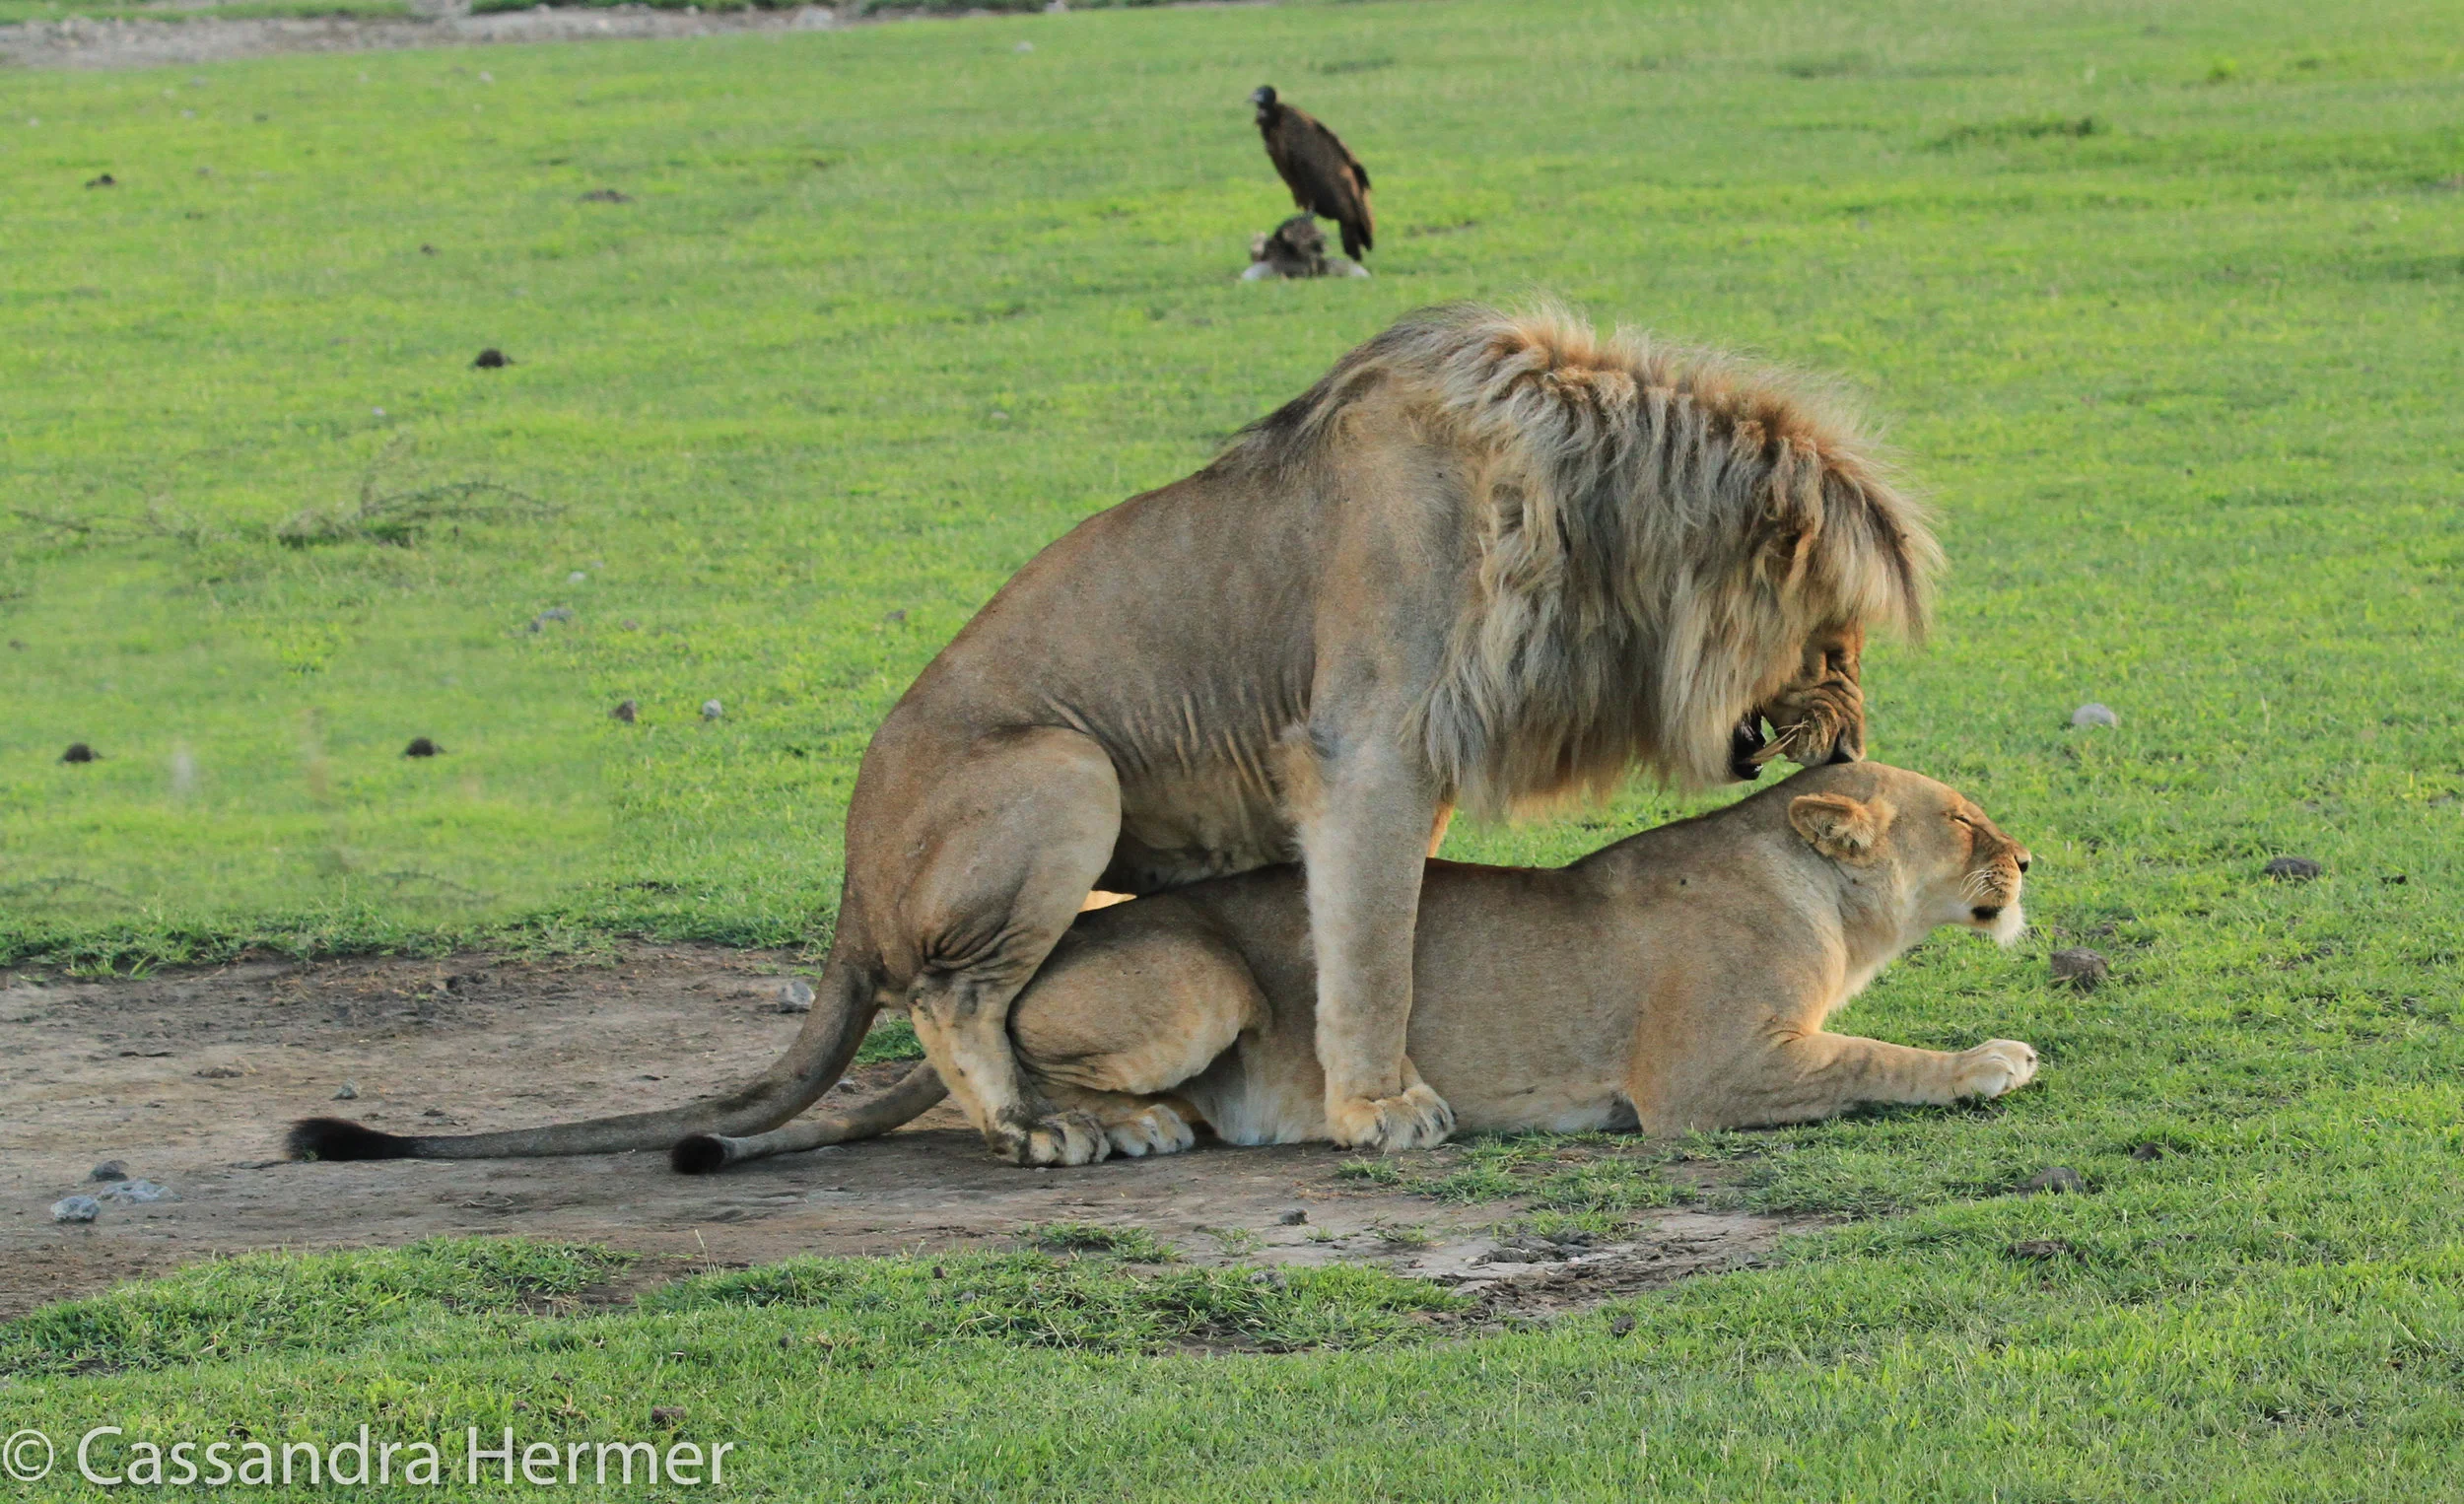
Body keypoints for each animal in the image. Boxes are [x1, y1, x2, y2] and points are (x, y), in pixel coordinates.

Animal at [685, 763, 2036, 1170]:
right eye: (1964, 821)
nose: (2027, 856)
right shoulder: (1700, 1081)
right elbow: (1869, 1059)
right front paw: (1988, 1062)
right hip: (1203, 975)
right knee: (990, 1033)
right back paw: (1109, 1127)